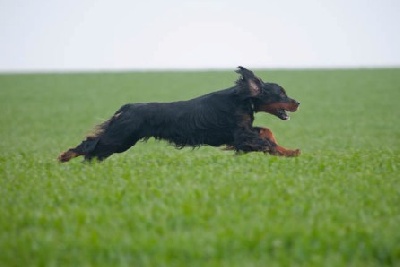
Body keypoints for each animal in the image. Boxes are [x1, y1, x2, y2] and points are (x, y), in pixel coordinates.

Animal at [57, 67, 298, 163]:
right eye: (281, 93)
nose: (298, 102)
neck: (242, 98)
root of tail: (128, 107)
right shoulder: (239, 135)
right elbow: (265, 142)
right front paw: (288, 152)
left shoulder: (242, 131)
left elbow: (267, 132)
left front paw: (289, 151)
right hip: (120, 137)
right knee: (91, 146)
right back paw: (68, 158)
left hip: (121, 137)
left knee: (93, 147)